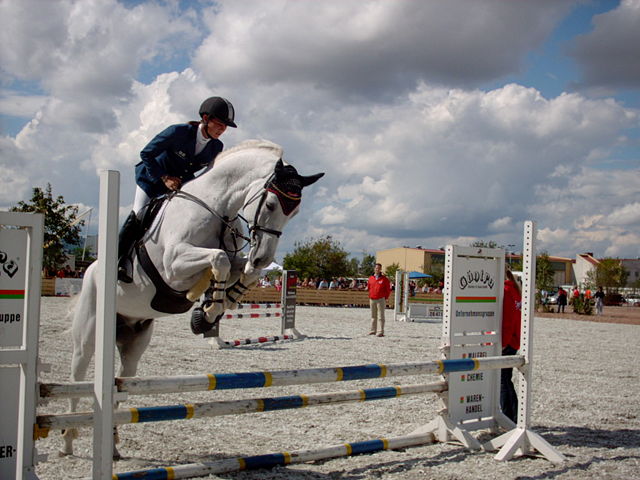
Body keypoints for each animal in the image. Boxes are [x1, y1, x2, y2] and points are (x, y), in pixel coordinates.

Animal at [62, 139, 322, 458]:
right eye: (271, 205)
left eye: (293, 213)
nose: (263, 257)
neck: (216, 208)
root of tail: (89, 271)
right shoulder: (174, 265)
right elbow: (219, 259)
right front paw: (206, 312)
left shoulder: (231, 258)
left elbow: (243, 270)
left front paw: (222, 302)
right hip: (88, 336)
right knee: (77, 379)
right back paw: (68, 440)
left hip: (134, 343)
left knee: (120, 386)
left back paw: (112, 445)